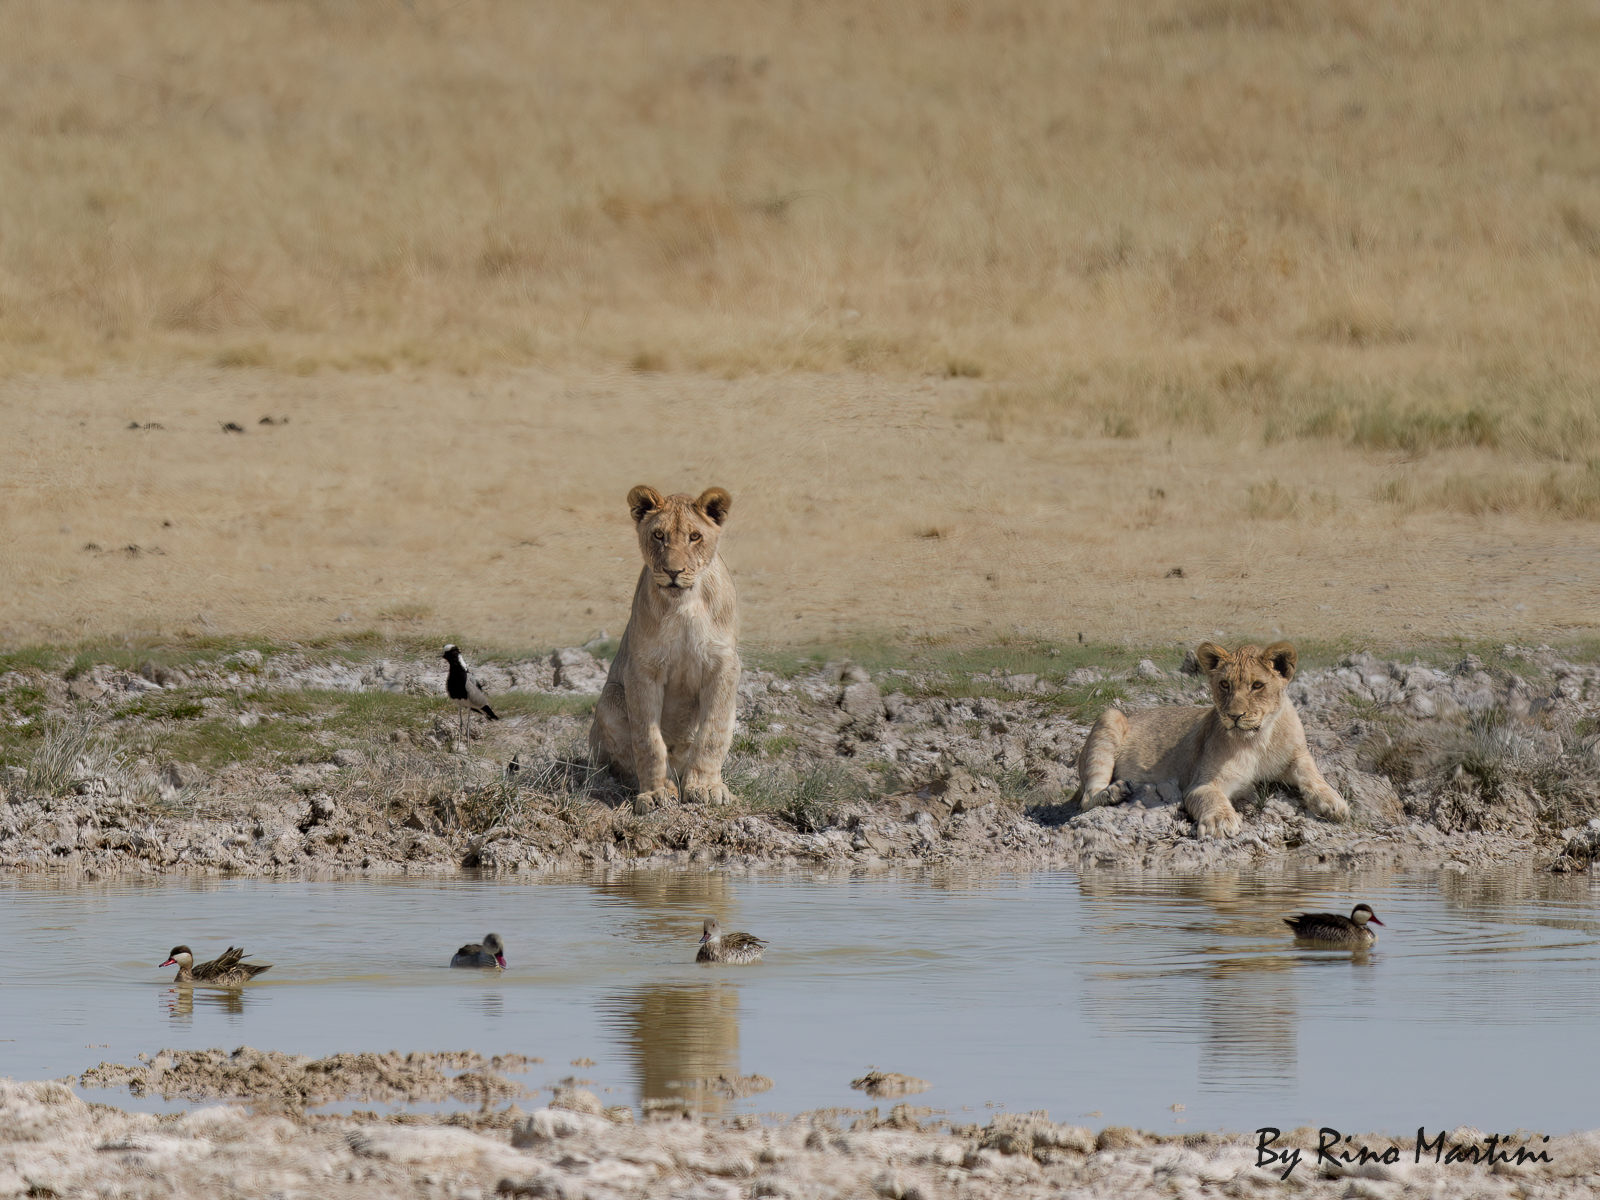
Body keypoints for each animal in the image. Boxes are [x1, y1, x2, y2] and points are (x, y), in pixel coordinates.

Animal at [588, 485, 740, 811]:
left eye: (695, 536)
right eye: (658, 535)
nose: (673, 571)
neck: (684, 604)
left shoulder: (724, 664)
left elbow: (713, 732)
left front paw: (706, 788)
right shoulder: (642, 668)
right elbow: (648, 739)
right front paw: (655, 792)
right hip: (611, 697)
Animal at [1073, 641, 1349, 838]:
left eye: (1257, 685)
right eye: (1224, 684)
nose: (1235, 716)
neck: (1258, 740)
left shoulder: (1298, 755)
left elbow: (1313, 775)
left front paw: (1333, 802)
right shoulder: (1199, 784)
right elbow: (1211, 797)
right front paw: (1220, 821)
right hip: (1110, 716)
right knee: (1086, 800)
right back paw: (1115, 791)